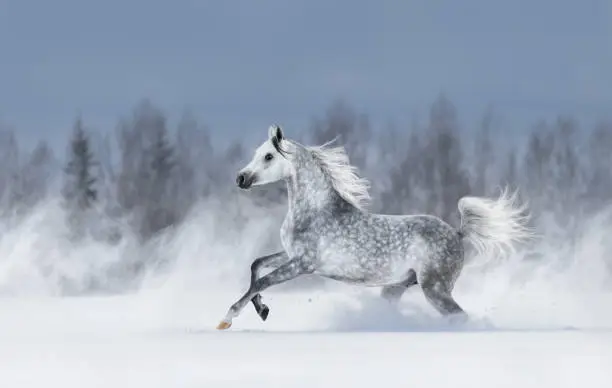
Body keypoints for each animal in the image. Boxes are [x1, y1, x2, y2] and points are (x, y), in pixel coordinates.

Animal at [218, 126, 532, 328]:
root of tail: (457, 232)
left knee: (459, 317)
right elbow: (256, 265)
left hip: (435, 288)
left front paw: (227, 318)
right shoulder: (290, 255)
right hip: (397, 287)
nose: (240, 178)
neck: (315, 210)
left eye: (269, 156)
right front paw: (262, 310)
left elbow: (262, 280)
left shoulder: (303, 264)